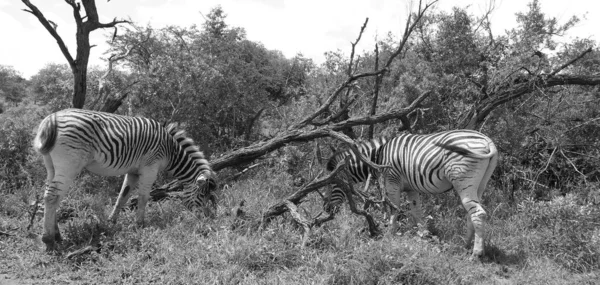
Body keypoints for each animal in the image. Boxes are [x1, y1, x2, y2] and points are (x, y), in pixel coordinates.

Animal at [32, 108, 216, 251]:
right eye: (202, 196)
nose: (207, 218)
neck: (171, 151)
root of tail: (50, 119)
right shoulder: (150, 168)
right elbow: (143, 197)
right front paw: (140, 224)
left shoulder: (133, 171)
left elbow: (123, 196)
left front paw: (111, 222)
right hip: (69, 164)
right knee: (52, 196)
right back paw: (49, 240)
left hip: (51, 165)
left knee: (52, 196)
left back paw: (57, 235)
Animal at [328, 131, 496, 258]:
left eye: (334, 183)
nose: (327, 208)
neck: (378, 156)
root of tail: (488, 141)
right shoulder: (411, 188)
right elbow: (417, 212)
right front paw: (424, 236)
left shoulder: (392, 182)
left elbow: (394, 209)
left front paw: (389, 236)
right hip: (479, 184)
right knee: (471, 213)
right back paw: (465, 246)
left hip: (463, 180)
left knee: (478, 213)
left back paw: (476, 254)